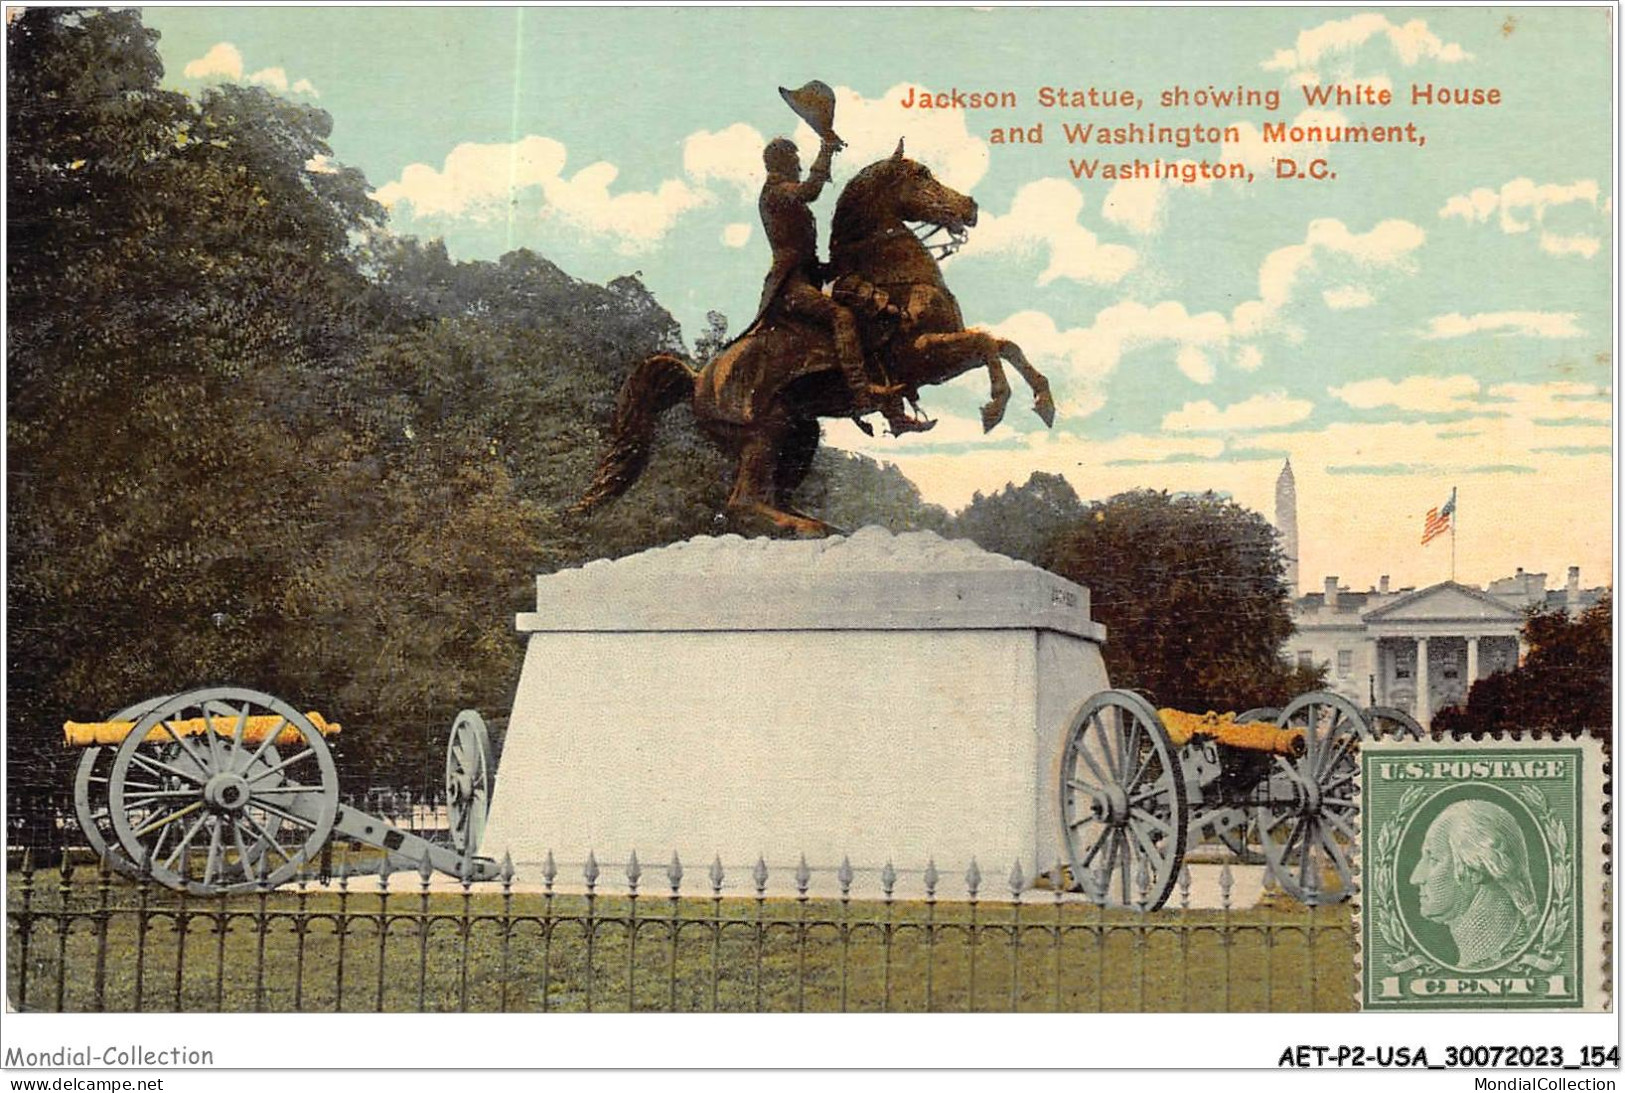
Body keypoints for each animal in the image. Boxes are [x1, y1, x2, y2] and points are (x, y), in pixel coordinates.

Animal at [578, 142, 1059, 535]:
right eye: (922, 175)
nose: (970, 207)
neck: (898, 280)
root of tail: (698, 378)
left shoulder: (941, 354)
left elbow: (1005, 345)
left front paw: (1044, 403)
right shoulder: (923, 358)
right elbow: (987, 344)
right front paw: (995, 407)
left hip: (801, 432)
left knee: (773, 495)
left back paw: (822, 525)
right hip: (764, 431)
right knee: (744, 502)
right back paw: (807, 528)